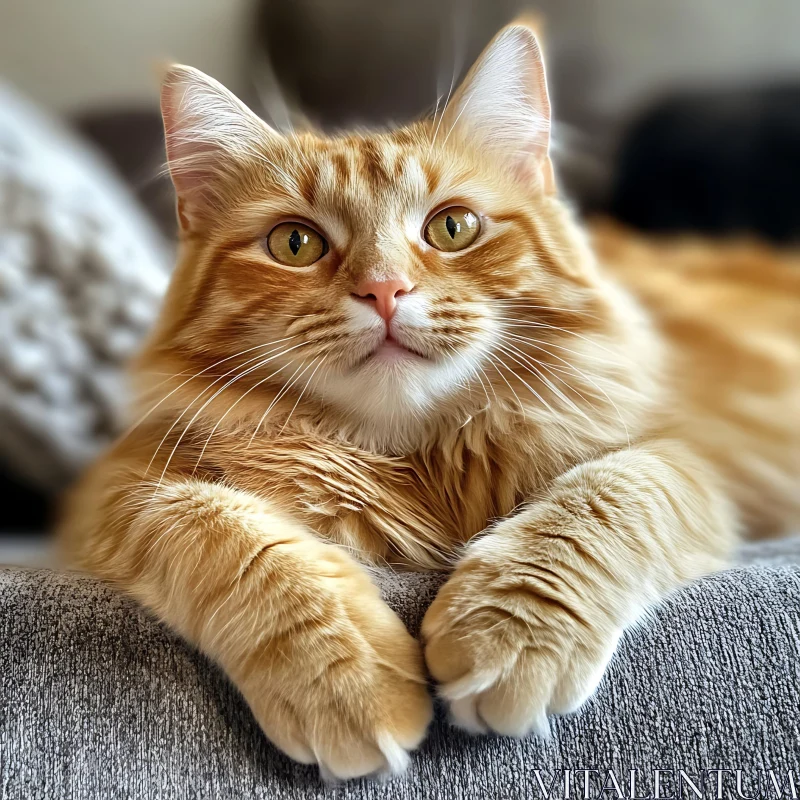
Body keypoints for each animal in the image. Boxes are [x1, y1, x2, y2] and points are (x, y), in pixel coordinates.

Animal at [61, 20, 800, 780]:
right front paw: (345, 678)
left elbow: (601, 499)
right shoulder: (130, 485)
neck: (419, 459)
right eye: (295, 243)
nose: (384, 289)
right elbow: (234, 539)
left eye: (452, 228)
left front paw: (508, 635)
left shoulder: (680, 458)